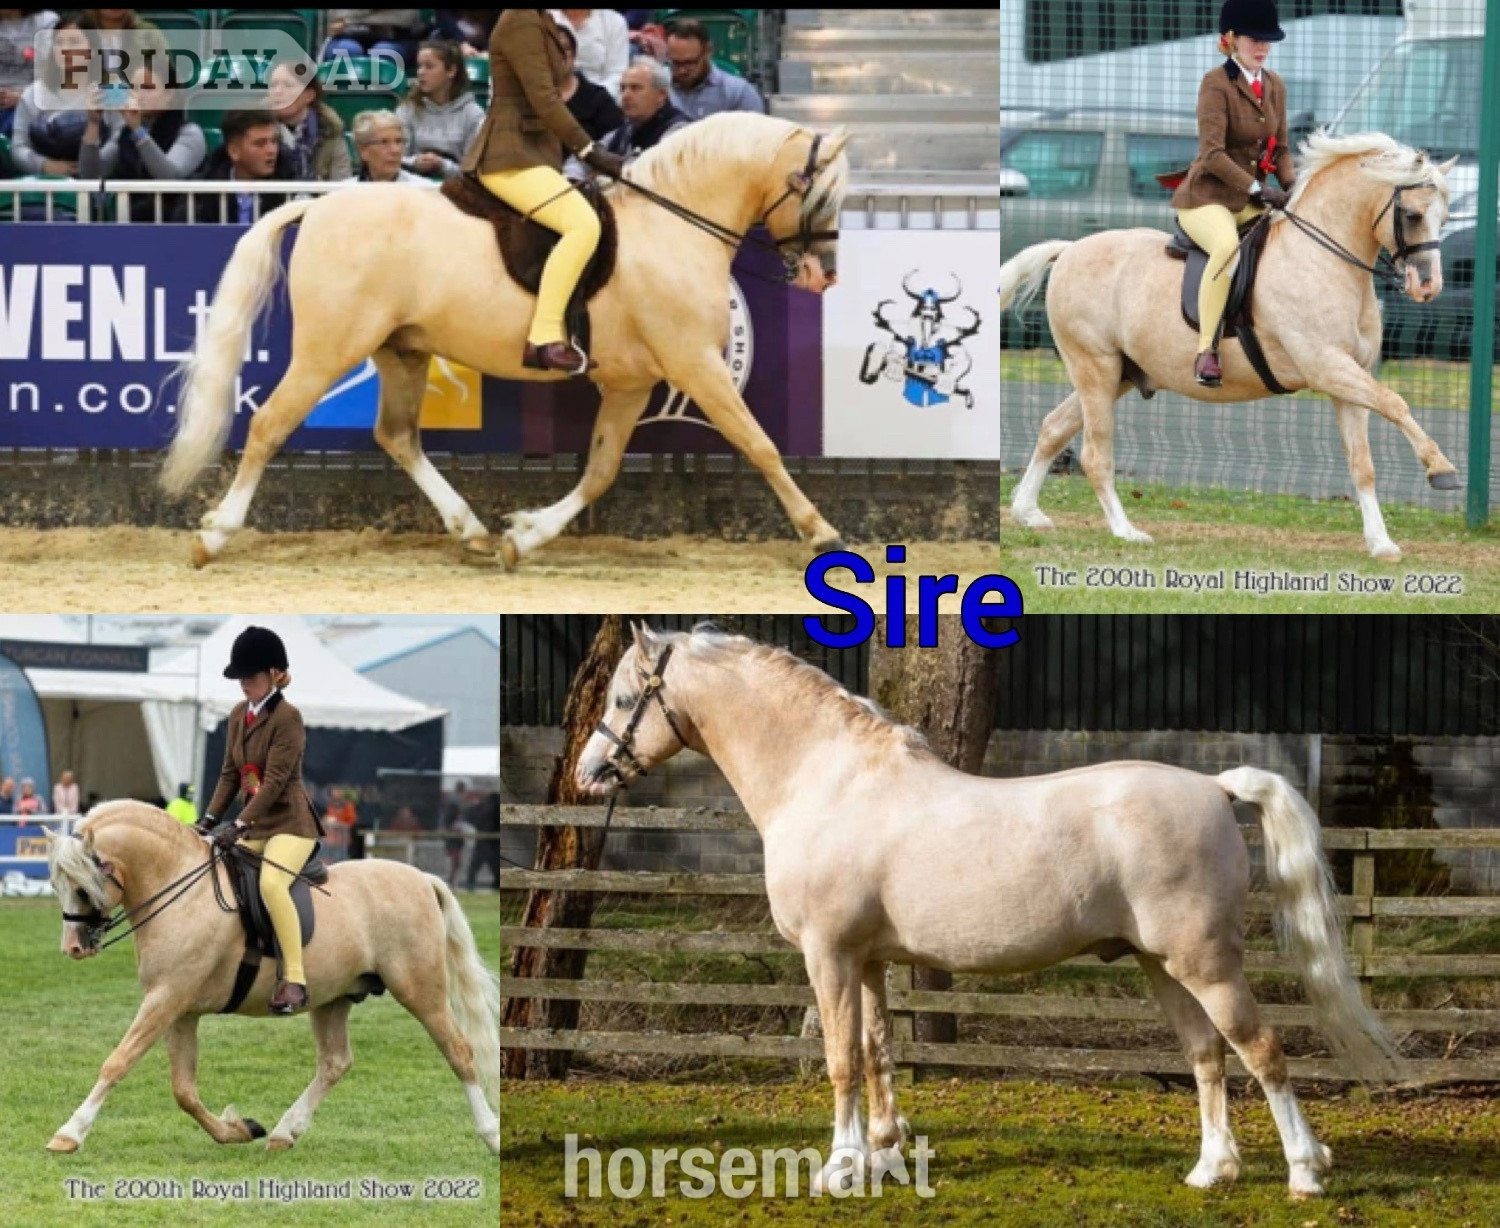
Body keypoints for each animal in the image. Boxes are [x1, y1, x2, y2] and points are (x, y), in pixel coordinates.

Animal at [43, 802, 499, 1155]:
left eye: (82, 887)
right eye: (56, 884)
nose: (74, 948)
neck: (181, 890)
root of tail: (421, 878)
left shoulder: (166, 998)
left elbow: (118, 1061)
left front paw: (69, 1133)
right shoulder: (179, 1009)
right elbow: (184, 1090)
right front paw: (239, 1129)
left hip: (421, 990)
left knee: (459, 1051)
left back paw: (491, 1135)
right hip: (332, 998)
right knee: (335, 1063)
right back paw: (284, 1132)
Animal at [158, 112, 850, 569]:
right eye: (819, 193)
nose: (823, 274)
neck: (672, 226)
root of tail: (319, 205)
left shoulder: (631, 383)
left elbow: (600, 471)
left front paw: (524, 535)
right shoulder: (695, 365)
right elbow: (759, 445)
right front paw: (823, 534)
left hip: (402, 351)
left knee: (398, 436)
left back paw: (470, 529)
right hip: (328, 351)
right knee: (269, 424)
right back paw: (213, 536)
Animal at [574, 623, 1402, 1197]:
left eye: (625, 698)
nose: (588, 774)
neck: (827, 780)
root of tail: (1214, 785)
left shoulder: (829, 955)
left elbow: (841, 1059)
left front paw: (839, 1170)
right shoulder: (867, 961)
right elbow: (877, 1053)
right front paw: (882, 1154)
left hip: (1206, 964)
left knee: (1261, 1051)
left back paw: (1304, 1173)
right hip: (1161, 966)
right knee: (1206, 1055)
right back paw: (1212, 1171)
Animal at [999, 130, 1460, 561]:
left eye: (1445, 216)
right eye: (1412, 214)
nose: (1428, 287)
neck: (1322, 259)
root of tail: (1069, 250)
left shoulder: (1350, 379)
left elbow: (1363, 464)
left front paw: (1381, 543)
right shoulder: (1327, 366)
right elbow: (1396, 402)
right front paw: (1442, 469)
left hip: (1118, 375)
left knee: (1054, 428)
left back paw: (1028, 513)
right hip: (1095, 367)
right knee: (1095, 454)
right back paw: (1125, 531)